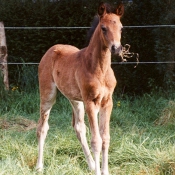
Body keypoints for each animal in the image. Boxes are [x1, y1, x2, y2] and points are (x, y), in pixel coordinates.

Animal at [36, 2, 123, 175]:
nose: (116, 48)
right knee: (42, 127)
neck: (99, 69)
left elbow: (105, 138)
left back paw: (91, 165)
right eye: (103, 28)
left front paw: (104, 171)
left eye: (121, 28)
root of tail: (51, 49)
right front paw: (98, 172)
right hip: (48, 95)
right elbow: (96, 140)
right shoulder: (91, 102)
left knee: (79, 128)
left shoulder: (107, 102)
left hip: (75, 100)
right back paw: (39, 166)